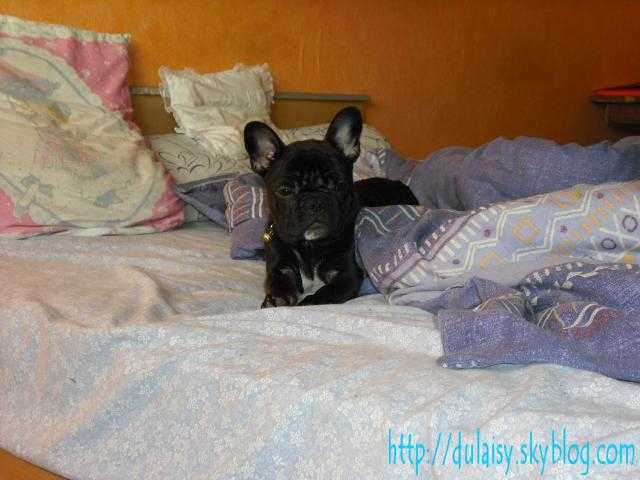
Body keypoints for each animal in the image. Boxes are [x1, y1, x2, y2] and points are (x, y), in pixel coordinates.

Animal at [244, 107, 417, 307]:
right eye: (285, 190)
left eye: (339, 185)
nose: (315, 201)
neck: (309, 245)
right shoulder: (280, 267)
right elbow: (278, 281)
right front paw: (277, 299)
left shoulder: (347, 276)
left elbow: (324, 295)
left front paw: (306, 303)